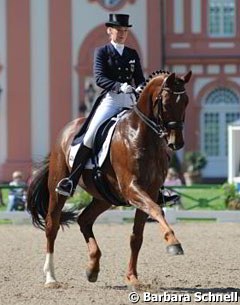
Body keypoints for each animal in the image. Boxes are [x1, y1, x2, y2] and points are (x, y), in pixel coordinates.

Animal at [26, 69, 191, 288]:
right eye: (165, 102)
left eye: (186, 102)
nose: (176, 143)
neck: (140, 133)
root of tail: (68, 128)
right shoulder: (132, 188)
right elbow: (157, 210)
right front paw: (173, 243)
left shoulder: (151, 190)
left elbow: (136, 237)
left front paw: (132, 277)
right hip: (58, 189)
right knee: (52, 226)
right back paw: (51, 278)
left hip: (105, 197)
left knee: (84, 220)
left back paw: (92, 268)